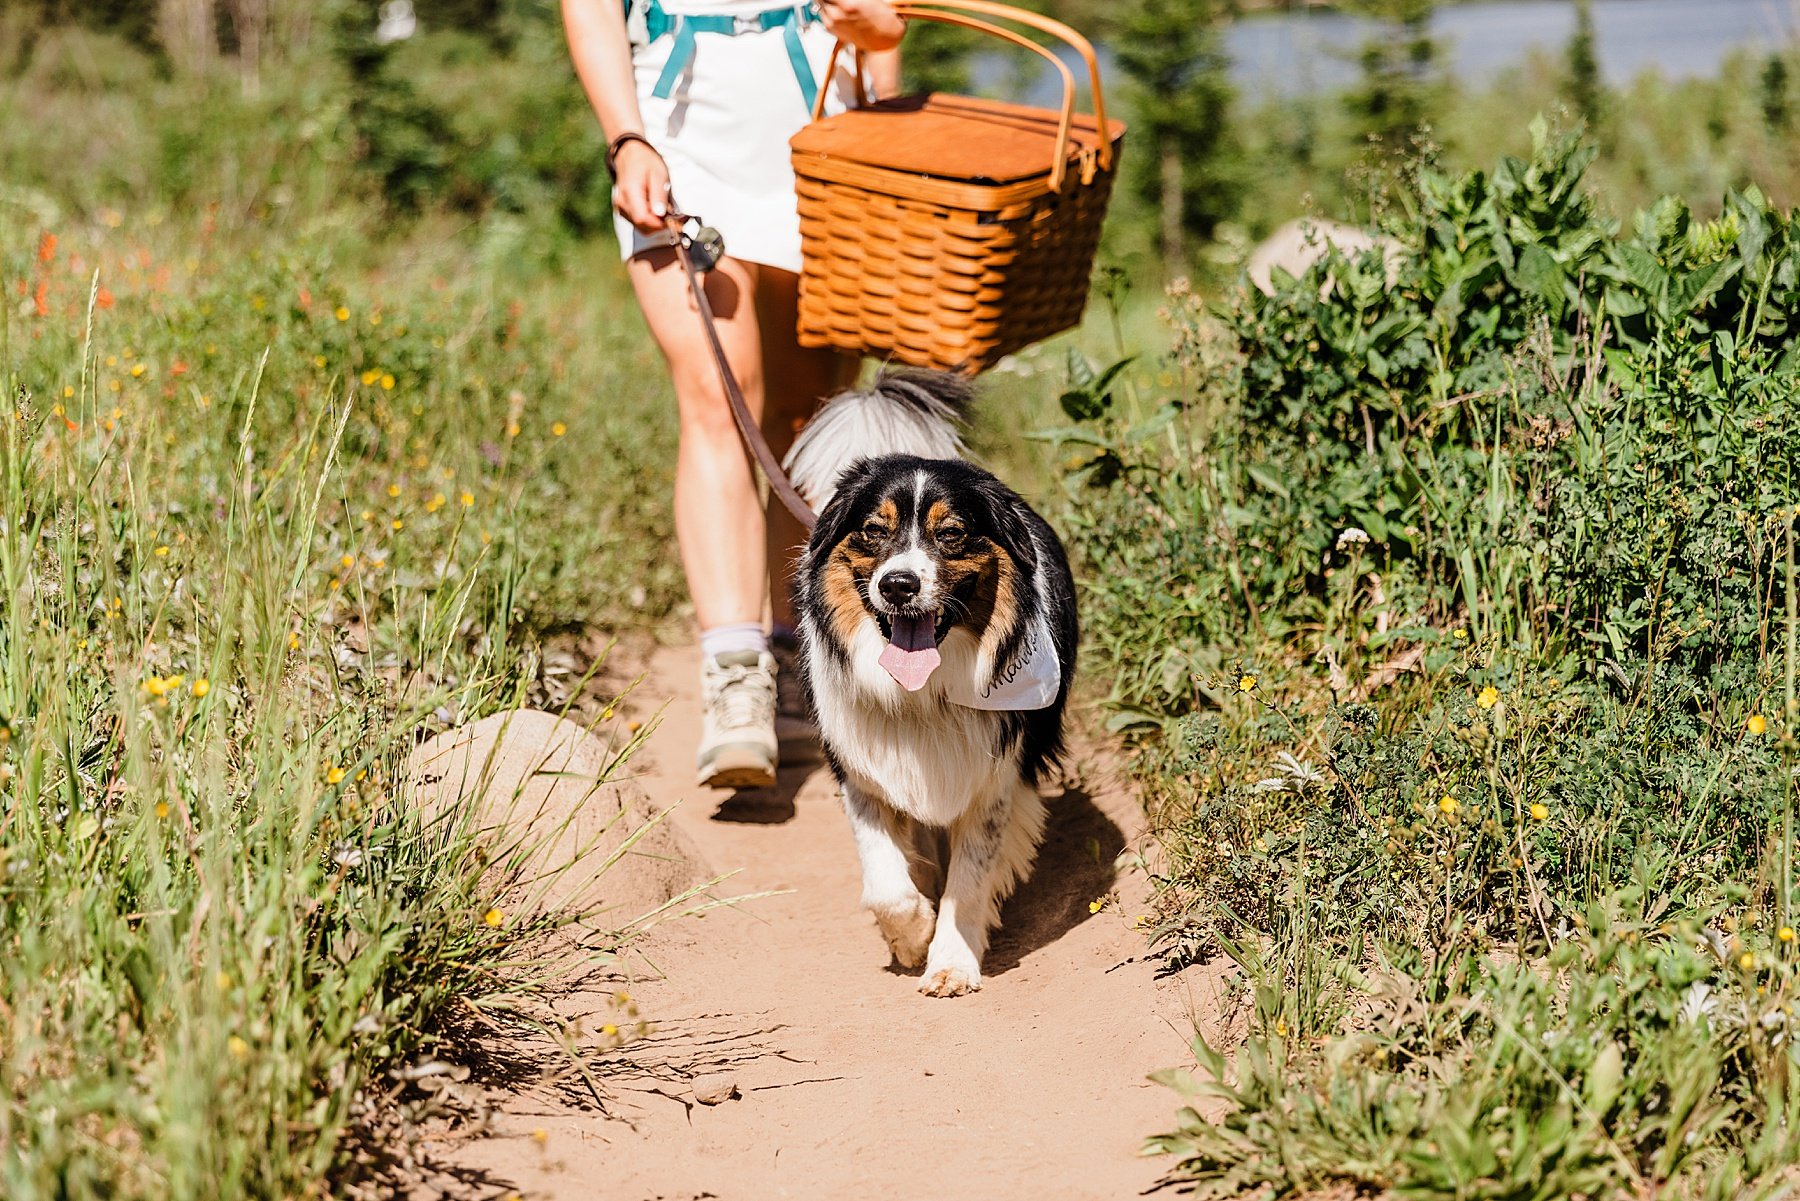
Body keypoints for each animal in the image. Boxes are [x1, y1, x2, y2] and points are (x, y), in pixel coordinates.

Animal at [784, 369, 1065, 993]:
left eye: (953, 533)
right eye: (872, 531)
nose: (898, 585)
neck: (925, 694)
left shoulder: (995, 778)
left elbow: (971, 877)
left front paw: (952, 960)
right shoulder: (861, 768)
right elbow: (886, 883)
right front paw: (912, 935)